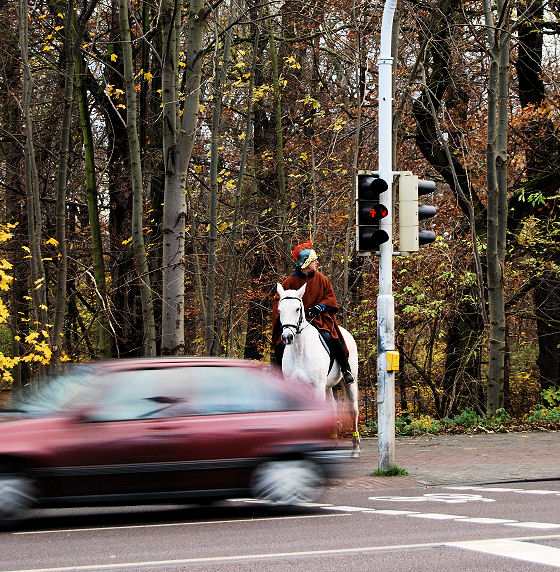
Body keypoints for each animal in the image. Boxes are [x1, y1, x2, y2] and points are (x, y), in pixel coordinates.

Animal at [276, 282, 358, 456]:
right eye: (280, 310)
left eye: (297, 309)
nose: (287, 337)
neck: (300, 350)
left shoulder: (317, 388)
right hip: (327, 386)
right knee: (332, 409)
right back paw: (332, 442)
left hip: (349, 381)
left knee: (353, 409)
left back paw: (355, 448)